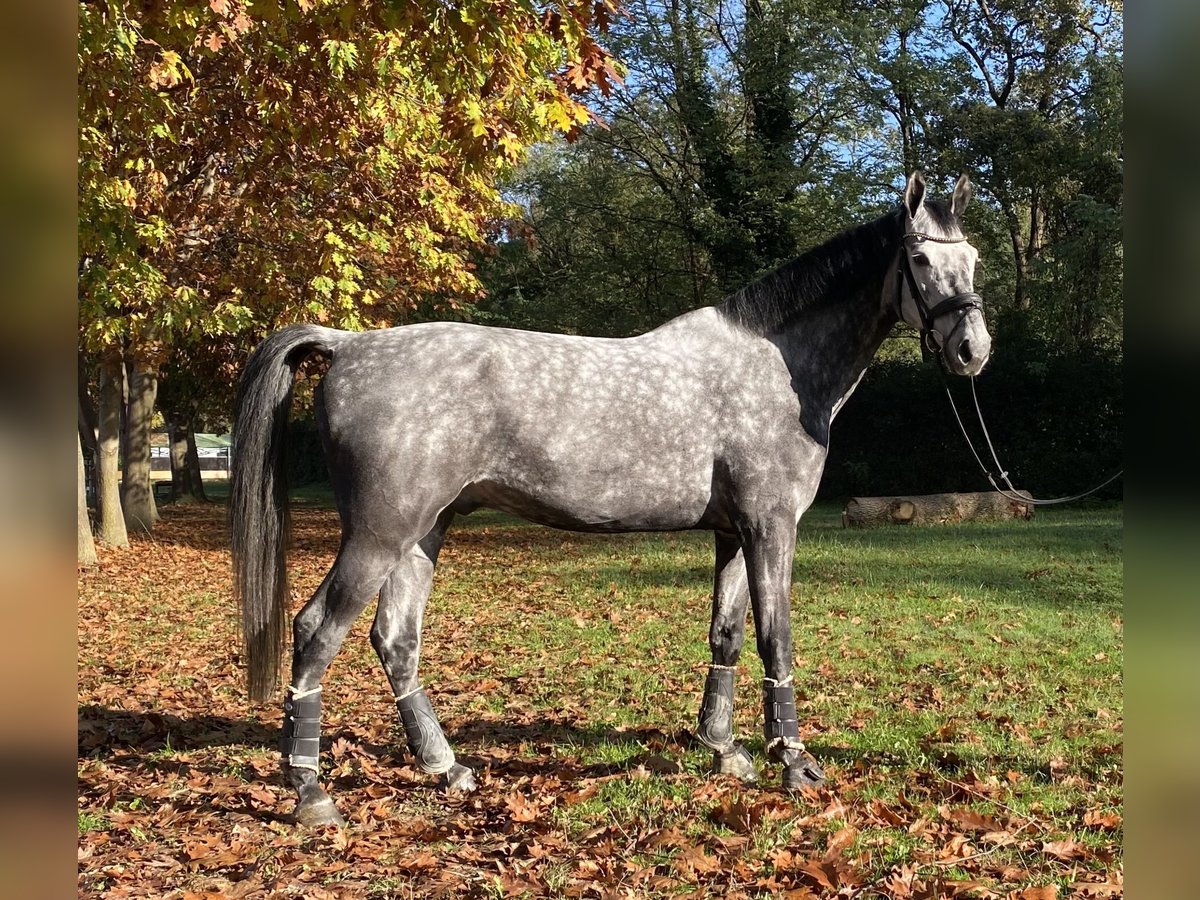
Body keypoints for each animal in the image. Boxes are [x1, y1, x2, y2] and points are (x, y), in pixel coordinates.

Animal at [229, 172, 988, 830]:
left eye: (973, 259)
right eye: (919, 258)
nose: (972, 349)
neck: (776, 366)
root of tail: (348, 344)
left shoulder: (732, 532)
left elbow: (727, 633)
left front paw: (724, 750)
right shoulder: (771, 527)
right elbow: (777, 638)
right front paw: (794, 765)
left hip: (423, 532)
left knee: (395, 640)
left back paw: (446, 768)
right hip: (379, 533)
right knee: (316, 631)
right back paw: (311, 793)